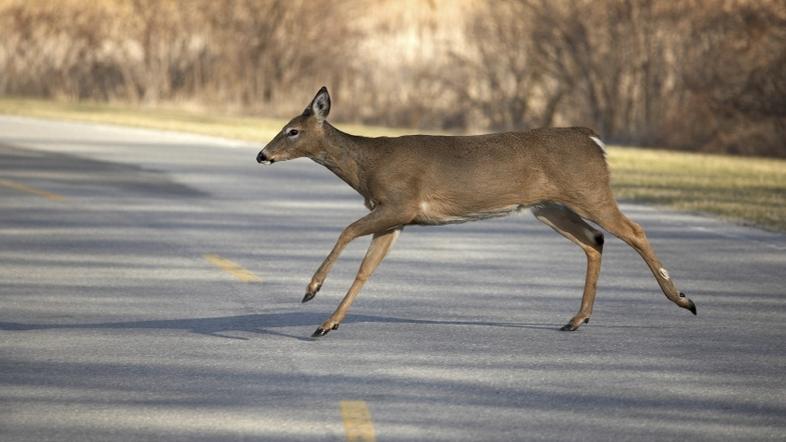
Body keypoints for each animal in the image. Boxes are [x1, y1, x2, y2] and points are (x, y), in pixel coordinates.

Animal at [254, 86, 696, 336]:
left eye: (292, 130)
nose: (262, 155)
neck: (367, 167)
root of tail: (592, 139)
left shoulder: (400, 202)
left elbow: (345, 231)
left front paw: (311, 291)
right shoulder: (396, 219)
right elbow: (367, 270)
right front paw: (327, 324)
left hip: (589, 189)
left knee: (633, 230)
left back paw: (683, 300)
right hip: (548, 206)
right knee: (595, 239)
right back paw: (576, 319)